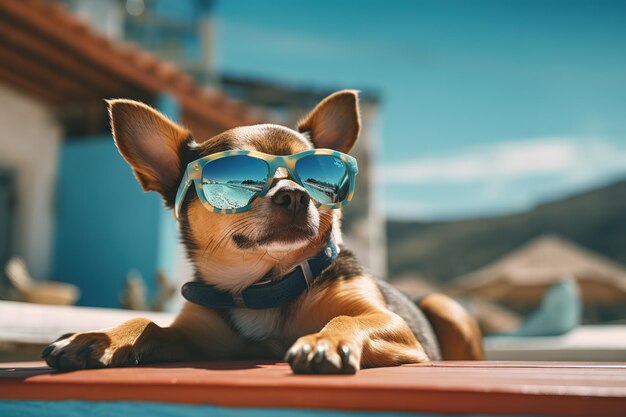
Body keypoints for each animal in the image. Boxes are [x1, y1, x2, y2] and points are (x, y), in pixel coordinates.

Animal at [42, 89, 482, 372]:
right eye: (237, 179)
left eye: (314, 178)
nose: (295, 195)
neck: (264, 284)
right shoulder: (201, 338)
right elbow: (149, 324)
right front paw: (97, 337)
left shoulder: (391, 324)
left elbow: (348, 318)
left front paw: (325, 340)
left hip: (446, 306)